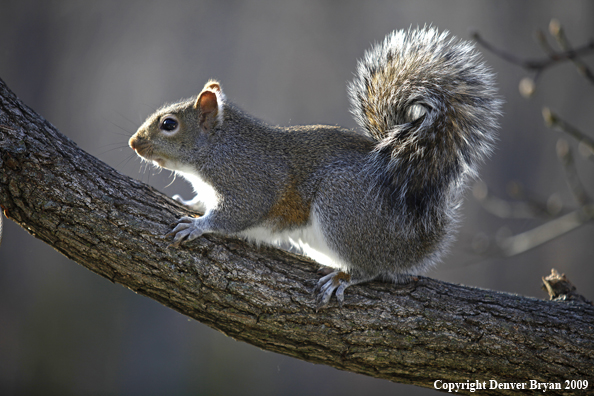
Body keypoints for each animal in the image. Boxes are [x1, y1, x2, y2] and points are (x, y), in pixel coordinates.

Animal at [128, 27, 500, 306]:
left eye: (169, 124)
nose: (133, 143)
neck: (216, 148)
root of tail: (421, 238)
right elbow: (201, 201)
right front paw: (187, 203)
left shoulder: (250, 179)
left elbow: (238, 212)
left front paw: (198, 226)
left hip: (342, 207)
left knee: (371, 268)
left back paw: (344, 277)